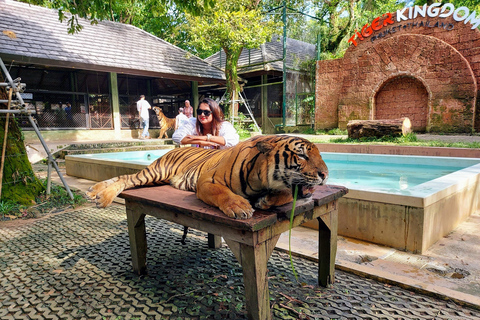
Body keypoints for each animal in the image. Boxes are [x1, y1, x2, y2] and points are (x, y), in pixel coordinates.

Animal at [86, 135, 328, 220]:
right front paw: (240, 207)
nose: (325, 174)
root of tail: (170, 149)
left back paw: (93, 192)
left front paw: (266, 200)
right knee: (125, 179)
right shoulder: (207, 182)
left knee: (122, 176)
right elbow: (223, 193)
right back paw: (102, 197)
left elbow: (288, 193)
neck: (261, 179)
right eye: (302, 155)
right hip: (156, 172)